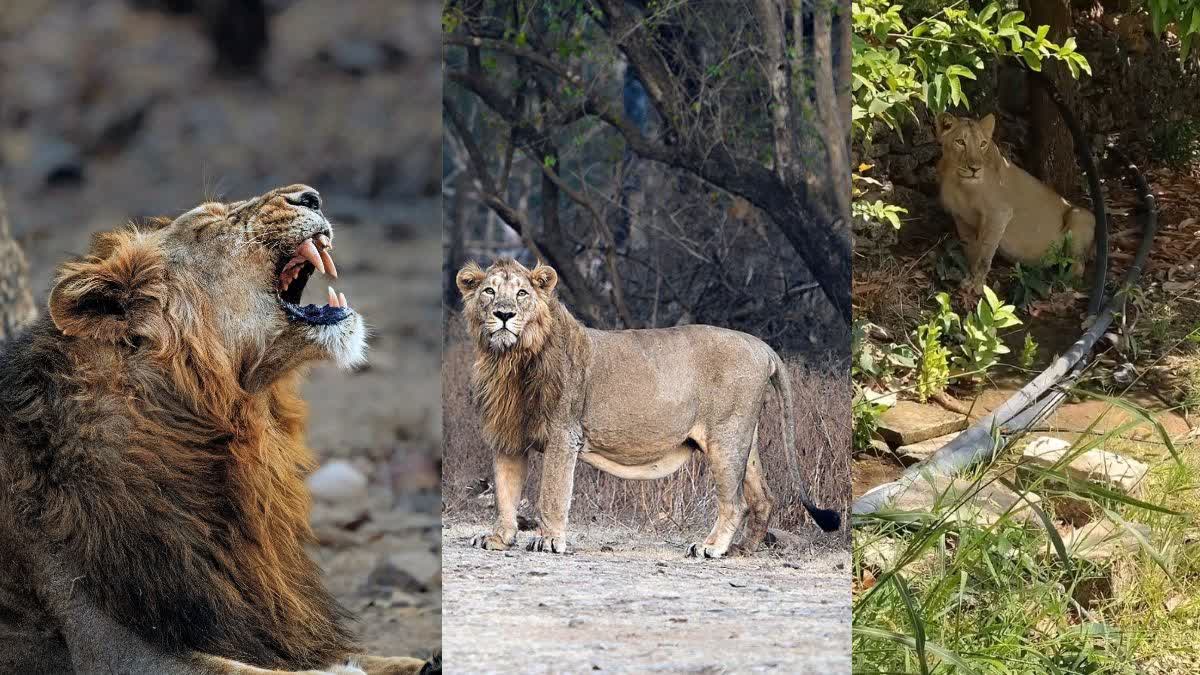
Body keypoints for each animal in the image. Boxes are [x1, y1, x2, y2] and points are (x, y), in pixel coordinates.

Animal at [455, 258, 840, 559]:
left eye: (522, 293)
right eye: (489, 292)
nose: (505, 314)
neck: (511, 361)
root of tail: (762, 346)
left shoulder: (564, 433)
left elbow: (552, 491)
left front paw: (548, 540)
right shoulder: (508, 436)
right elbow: (505, 492)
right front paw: (498, 538)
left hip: (725, 439)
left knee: (736, 502)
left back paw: (711, 547)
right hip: (745, 437)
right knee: (763, 498)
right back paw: (743, 550)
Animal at [936, 112, 1095, 295]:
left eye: (982, 144)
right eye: (960, 142)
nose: (975, 169)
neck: (958, 182)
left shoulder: (999, 214)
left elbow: (984, 254)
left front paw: (976, 285)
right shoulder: (960, 218)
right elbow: (970, 250)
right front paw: (970, 275)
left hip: (1079, 216)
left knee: (1078, 266)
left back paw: (1059, 282)